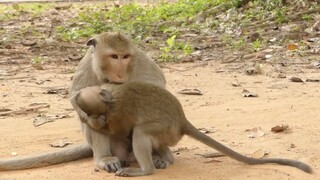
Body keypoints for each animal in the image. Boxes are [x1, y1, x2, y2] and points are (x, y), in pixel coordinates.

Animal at [0, 32, 165, 172]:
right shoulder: (86, 64)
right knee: (91, 115)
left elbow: (157, 84)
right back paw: (105, 158)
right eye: (114, 56)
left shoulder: (138, 58)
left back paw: (158, 157)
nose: (120, 73)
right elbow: (76, 96)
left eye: (125, 56)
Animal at [75, 82, 312, 177]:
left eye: (103, 114)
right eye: (97, 113)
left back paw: (146, 170)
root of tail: (182, 120)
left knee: (141, 131)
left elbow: (115, 128)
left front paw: (92, 123)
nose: (97, 119)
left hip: (166, 129)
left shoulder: (117, 112)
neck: (111, 97)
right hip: (169, 134)